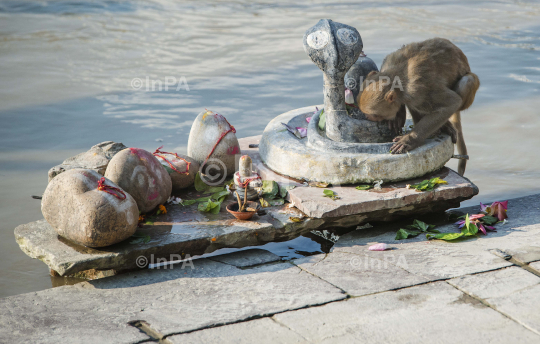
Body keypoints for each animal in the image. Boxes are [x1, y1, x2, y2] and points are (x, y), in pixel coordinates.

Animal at [358, 38, 480, 175]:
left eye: (374, 115)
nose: (367, 118)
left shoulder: (418, 91)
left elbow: (452, 102)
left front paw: (410, 139)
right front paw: (398, 115)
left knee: (467, 81)